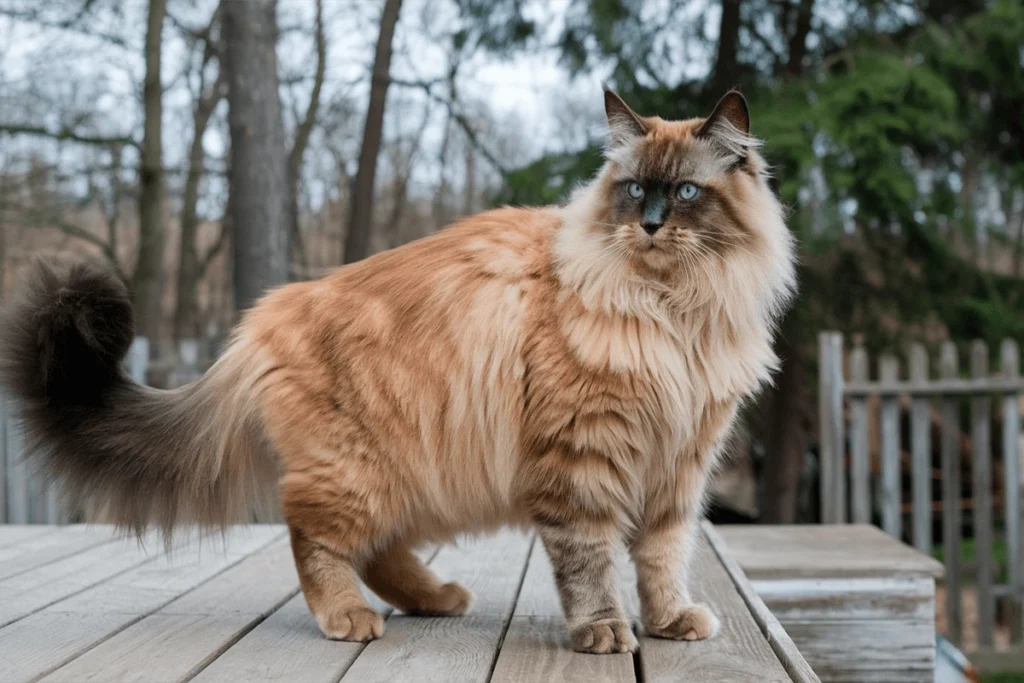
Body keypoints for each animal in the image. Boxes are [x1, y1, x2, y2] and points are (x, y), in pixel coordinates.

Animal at [0, 88, 794, 655]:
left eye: (685, 192)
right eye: (633, 189)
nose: (651, 224)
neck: (671, 315)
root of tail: (265, 314)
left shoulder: (680, 464)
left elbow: (661, 557)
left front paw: (669, 620)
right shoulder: (581, 459)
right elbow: (592, 560)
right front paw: (602, 630)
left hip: (405, 476)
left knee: (379, 551)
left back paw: (437, 598)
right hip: (357, 471)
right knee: (311, 536)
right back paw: (348, 616)